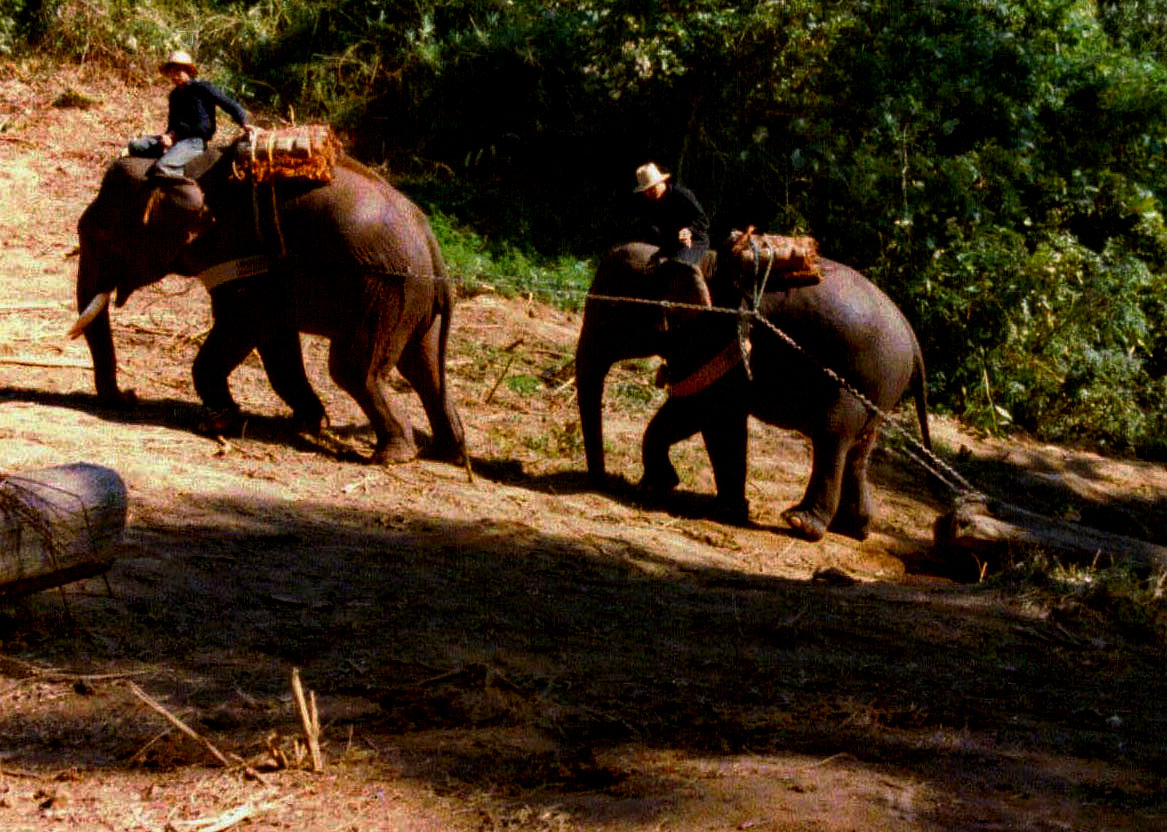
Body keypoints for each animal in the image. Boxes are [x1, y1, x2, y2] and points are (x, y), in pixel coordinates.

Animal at [69, 147, 465, 465]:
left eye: (101, 237)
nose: (129, 397)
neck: (180, 170)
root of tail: (432, 245)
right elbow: (277, 346)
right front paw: (307, 422)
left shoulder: (242, 251)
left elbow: (241, 325)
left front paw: (219, 420)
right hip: (408, 303)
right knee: (423, 369)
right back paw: (448, 452)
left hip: (383, 291)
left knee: (354, 370)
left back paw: (391, 457)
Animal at [574, 237, 931, 541]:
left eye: (610, 314)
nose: (601, 480)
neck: (685, 259)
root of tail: (913, 340)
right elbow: (683, 412)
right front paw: (655, 486)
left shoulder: (717, 338)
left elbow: (713, 417)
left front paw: (724, 510)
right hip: (879, 389)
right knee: (859, 449)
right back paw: (854, 529)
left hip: (859, 380)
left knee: (832, 437)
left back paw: (802, 523)